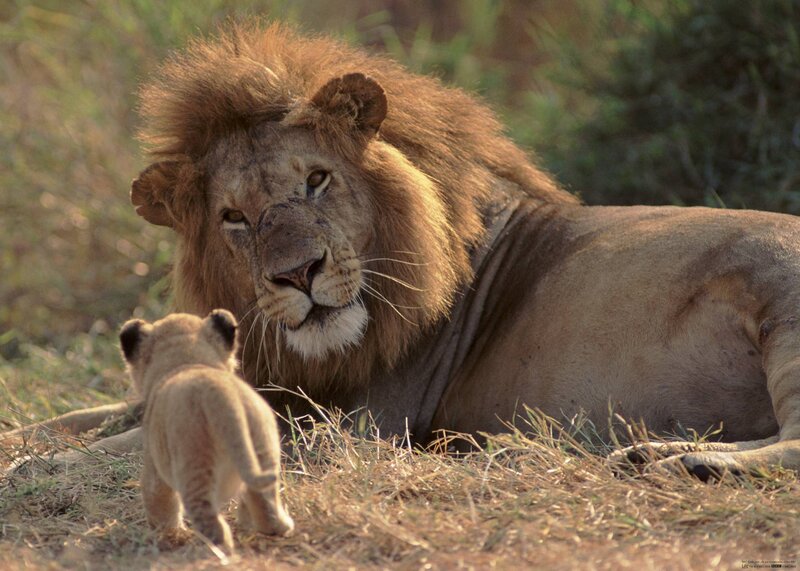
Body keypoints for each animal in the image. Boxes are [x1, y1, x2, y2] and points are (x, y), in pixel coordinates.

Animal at [11, 23, 800, 480]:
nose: (298, 273)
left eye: (317, 179)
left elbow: (131, 434)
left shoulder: (354, 423)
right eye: (235, 217)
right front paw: (24, 438)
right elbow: (85, 415)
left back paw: (675, 460)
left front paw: (32, 470)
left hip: (783, 312)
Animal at [119, 309, 294, 551]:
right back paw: (278, 527)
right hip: (263, 448)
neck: (188, 362)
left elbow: (158, 499)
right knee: (263, 498)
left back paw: (216, 549)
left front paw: (168, 535)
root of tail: (222, 397)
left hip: (193, 463)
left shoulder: (154, 464)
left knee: (207, 517)